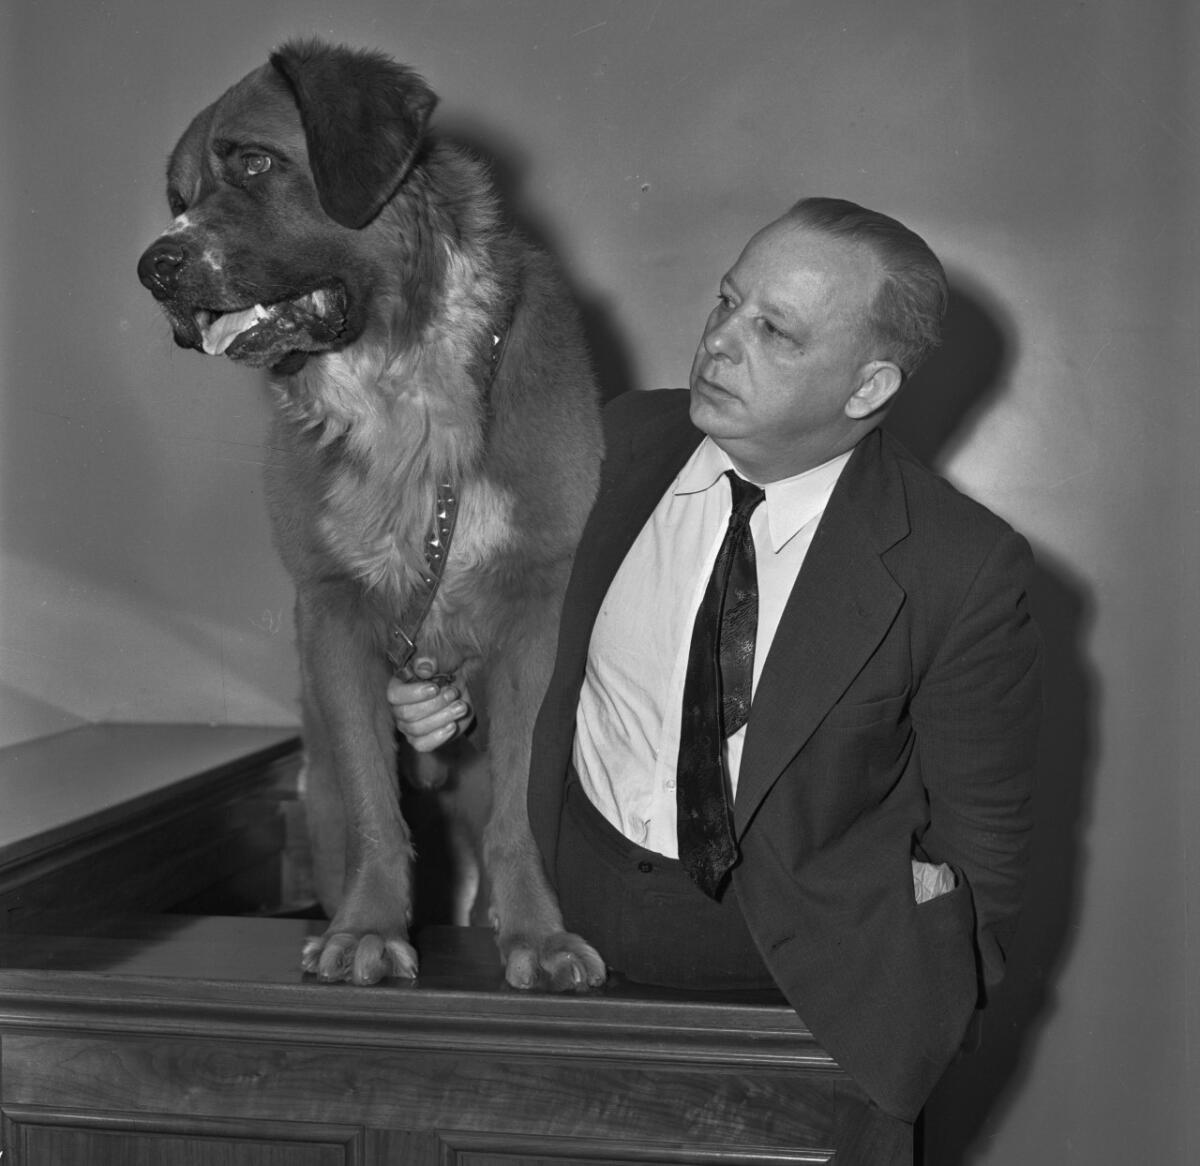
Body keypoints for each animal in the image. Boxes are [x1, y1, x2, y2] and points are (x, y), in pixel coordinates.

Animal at [137, 41, 604, 988]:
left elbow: (517, 812)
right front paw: (366, 931)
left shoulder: (538, 612)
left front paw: (537, 937)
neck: (401, 388)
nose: (154, 266)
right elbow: (371, 805)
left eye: (253, 162)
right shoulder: (332, 613)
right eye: (177, 199)